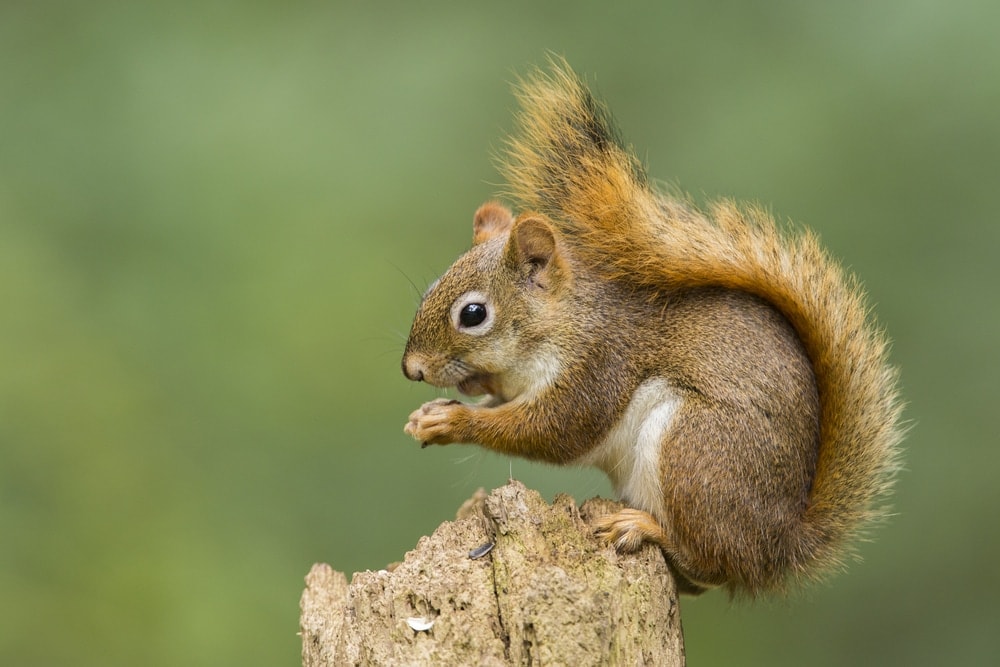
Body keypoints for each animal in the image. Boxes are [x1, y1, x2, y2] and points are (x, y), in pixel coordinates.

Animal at [401, 60, 903, 596]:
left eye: (473, 314)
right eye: (431, 286)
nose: (412, 369)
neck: (562, 323)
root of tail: (778, 549)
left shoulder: (599, 365)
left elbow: (552, 430)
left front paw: (452, 421)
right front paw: (431, 412)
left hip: (695, 451)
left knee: (711, 563)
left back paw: (644, 528)